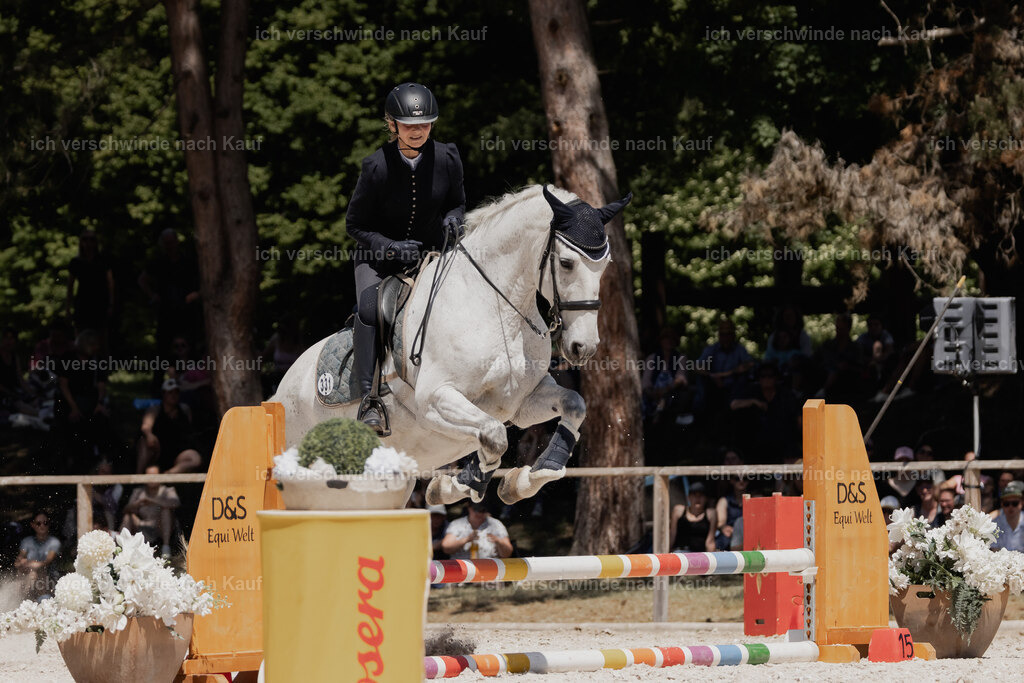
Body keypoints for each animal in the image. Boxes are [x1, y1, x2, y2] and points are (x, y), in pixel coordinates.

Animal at [270, 184, 631, 505]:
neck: (497, 308)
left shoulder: (521, 403)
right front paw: (456, 487)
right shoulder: (436, 400)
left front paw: (528, 478)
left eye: (605, 266)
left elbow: (573, 404)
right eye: (567, 263)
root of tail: (278, 394)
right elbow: (494, 437)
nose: (584, 347)